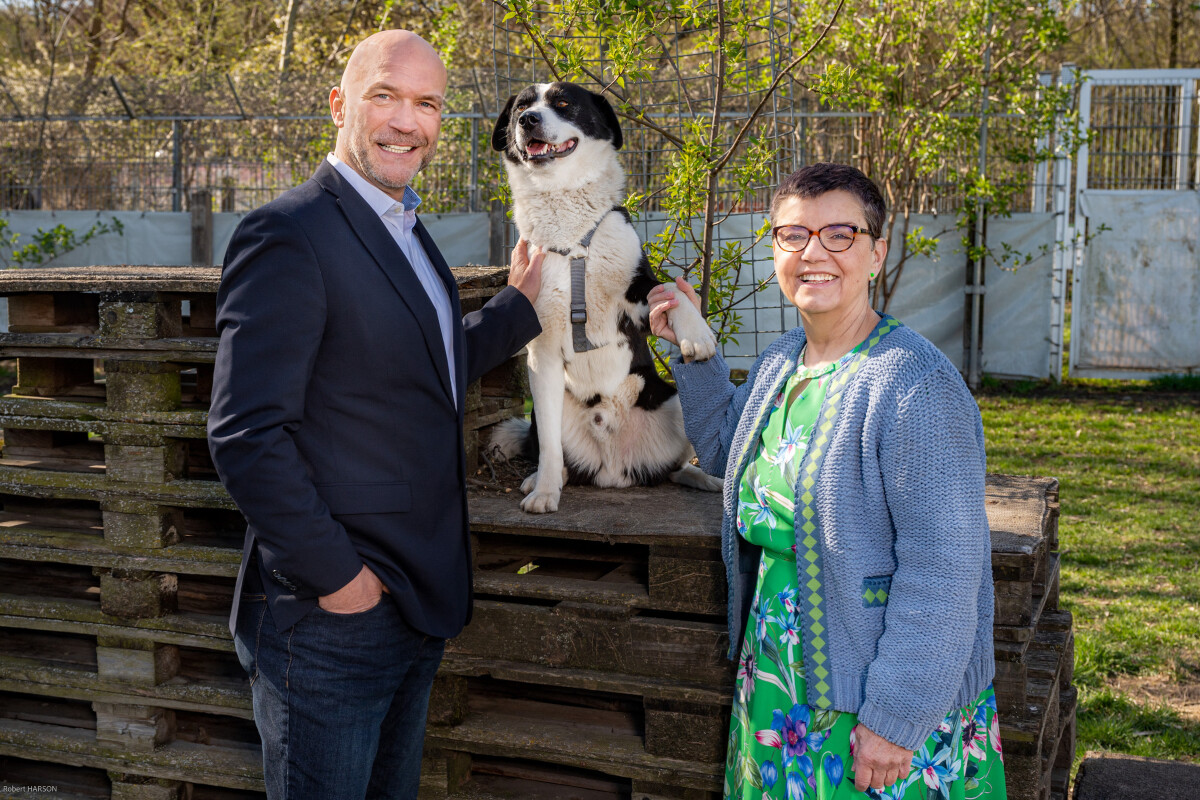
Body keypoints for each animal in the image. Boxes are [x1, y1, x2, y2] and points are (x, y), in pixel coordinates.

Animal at [489, 81, 715, 513]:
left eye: (563, 103)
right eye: (521, 107)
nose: (528, 121)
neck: (572, 237)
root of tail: (613, 471)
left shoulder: (636, 292)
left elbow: (670, 292)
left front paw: (697, 333)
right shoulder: (541, 351)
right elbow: (549, 450)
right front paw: (545, 493)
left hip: (673, 398)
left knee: (677, 467)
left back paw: (709, 478)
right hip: (546, 408)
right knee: (555, 454)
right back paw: (541, 481)